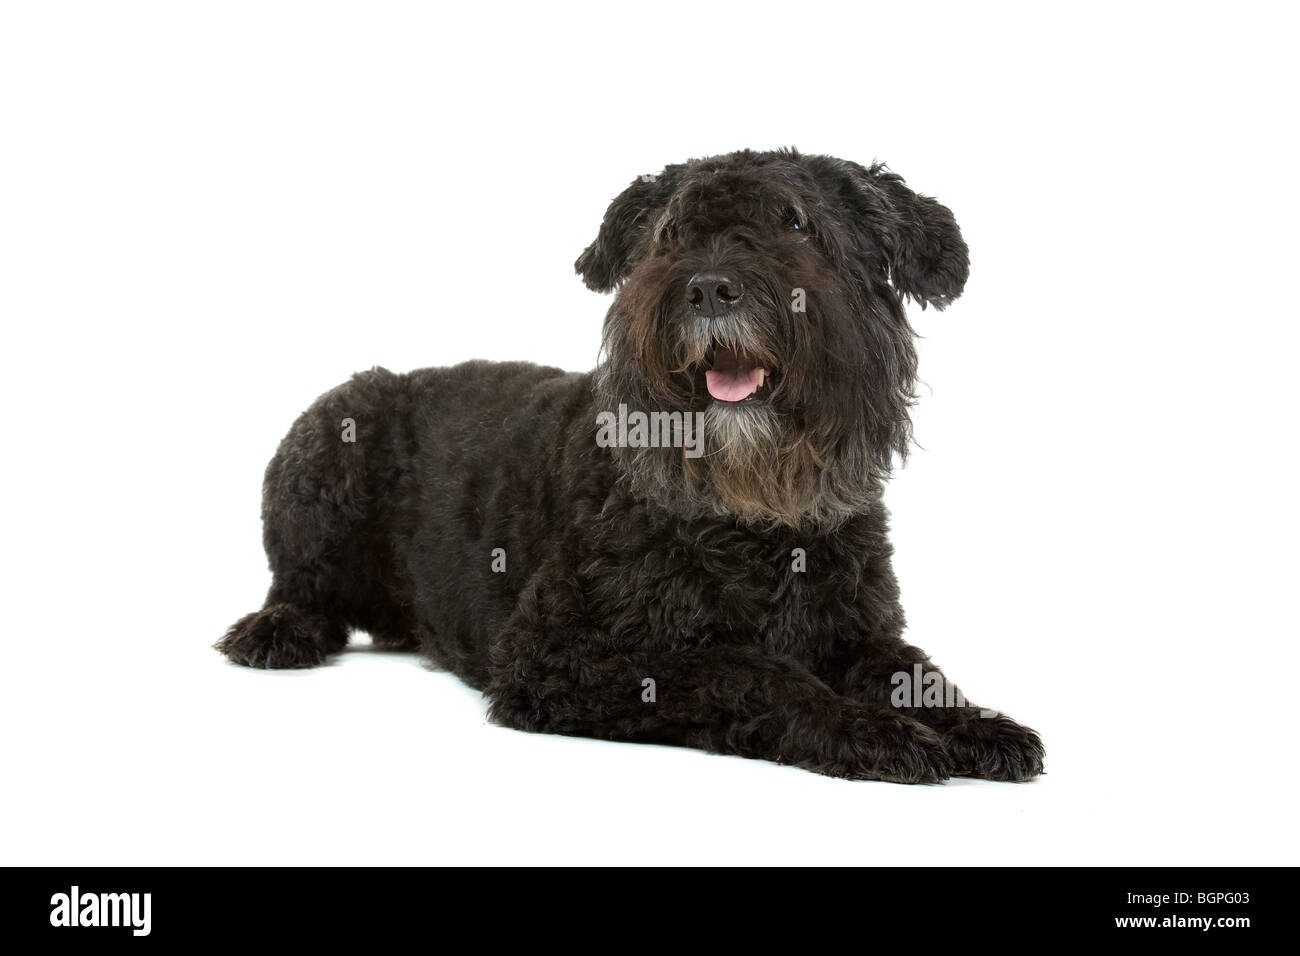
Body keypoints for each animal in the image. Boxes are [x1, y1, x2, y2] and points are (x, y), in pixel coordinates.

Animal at [215, 145, 1045, 780]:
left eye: (796, 222)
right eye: (672, 233)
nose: (708, 287)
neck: (756, 521)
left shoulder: (856, 634)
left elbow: (914, 674)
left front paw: (977, 723)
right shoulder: (564, 657)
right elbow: (747, 670)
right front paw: (869, 730)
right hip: (335, 429)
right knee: (299, 583)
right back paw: (279, 630)